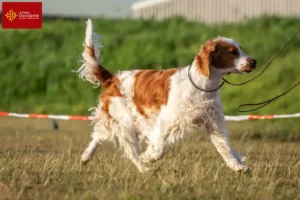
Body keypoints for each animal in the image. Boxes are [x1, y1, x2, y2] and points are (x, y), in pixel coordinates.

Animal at [76, 18, 256, 173]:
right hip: (126, 122)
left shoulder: (214, 122)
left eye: (241, 49)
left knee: (98, 136)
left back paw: (85, 157)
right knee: (130, 152)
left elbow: (225, 148)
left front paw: (239, 167)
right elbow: (159, 149)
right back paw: (144, 168)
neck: (202, 85)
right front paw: (148, 158)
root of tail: (113, 79)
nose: (254, 61)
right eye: (232, 52)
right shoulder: (165, 120)